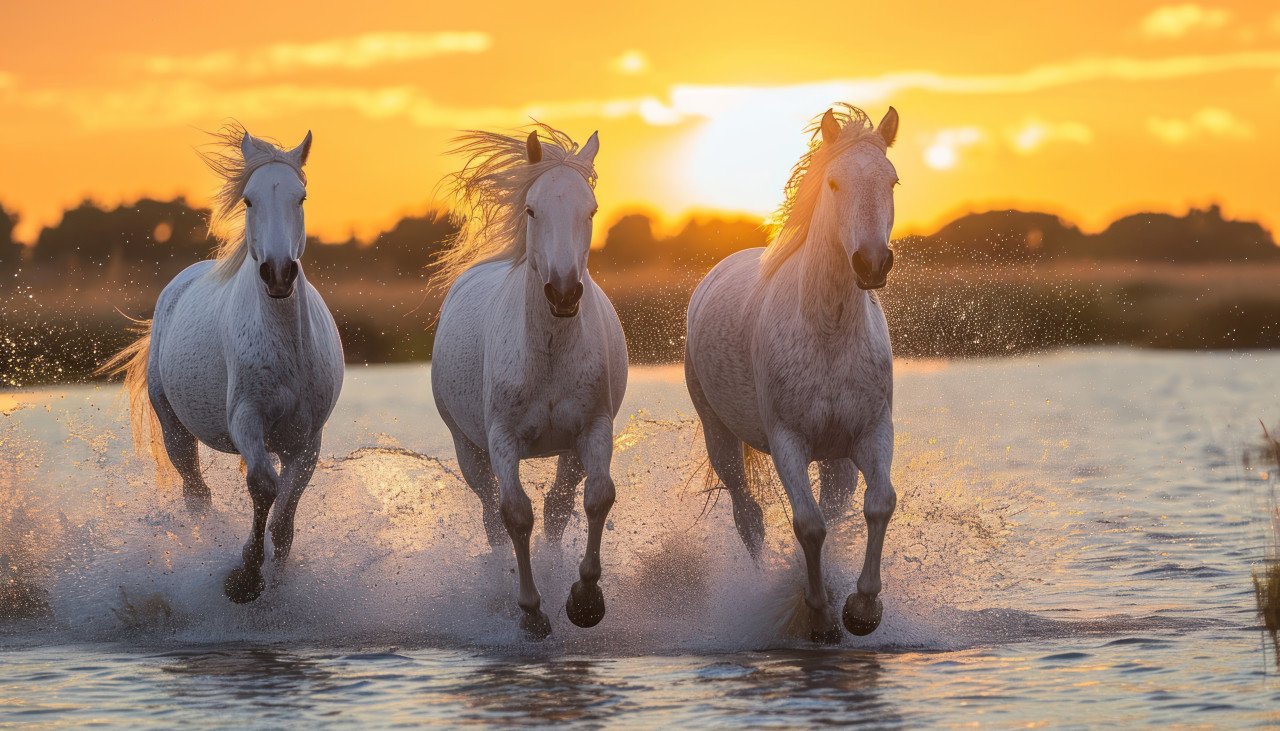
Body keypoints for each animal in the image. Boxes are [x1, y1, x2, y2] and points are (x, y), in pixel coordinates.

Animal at [99, 124, 344, 604]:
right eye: (249, 200)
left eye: (301, 197)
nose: (278, 273)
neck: (286, 345)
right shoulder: (246, 418)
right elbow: (263, 486)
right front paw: (244, 578)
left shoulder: (306, 441)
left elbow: (283, 522)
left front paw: (277, 584)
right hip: (175, 430)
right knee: (197, 496)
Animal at [430, 124, 627, 639]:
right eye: (533, 209)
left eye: (590, 210)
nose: (564, 293)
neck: (549, 355)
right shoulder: (503, 439)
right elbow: (516, 515)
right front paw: (532, 612)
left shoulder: (593, 429)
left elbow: (597, 498)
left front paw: (584, 601)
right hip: (467, 448)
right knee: (490, 514)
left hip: (568, 449)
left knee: (559, 504)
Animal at [684, 105, 901, 642]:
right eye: (835, 182)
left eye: (892, 180)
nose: (871, 263)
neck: (828, 333)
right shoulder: (788, 441)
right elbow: (809, 524)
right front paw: (820, 616)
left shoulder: (870, 433)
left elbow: (878, 504)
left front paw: (862, 609)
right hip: (719, 437)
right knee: (749, 516)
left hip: (836, 458)